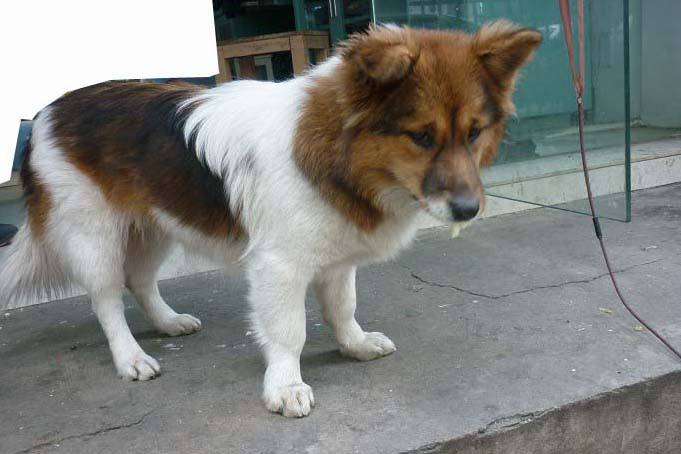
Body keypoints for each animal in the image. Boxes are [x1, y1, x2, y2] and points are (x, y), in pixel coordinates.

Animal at [0, 22, 540, 417]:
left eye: (474, 133)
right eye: (421, 137)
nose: (468, 211)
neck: (341, 158)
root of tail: (47, 111)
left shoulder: (335, 258)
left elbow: (342, 307)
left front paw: (354, 345)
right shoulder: (279, 266)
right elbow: (288, 331)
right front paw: (285, 385)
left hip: (155, 224)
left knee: (140, 280)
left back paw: (168, 322)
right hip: (94, 233)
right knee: (108, 298)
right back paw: (130, 356)